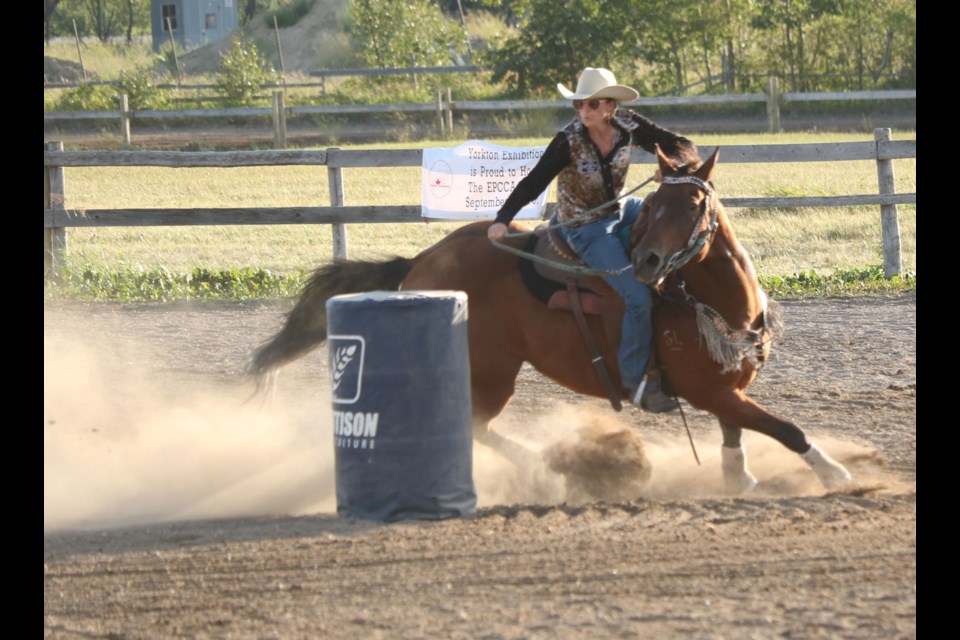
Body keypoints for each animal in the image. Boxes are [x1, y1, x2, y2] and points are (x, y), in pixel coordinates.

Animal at [249, 146, 856, 496]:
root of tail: (423, 259)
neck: (715, 301)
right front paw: (834, 473)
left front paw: (739, 477)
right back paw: (547, 469)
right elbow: (783, 427)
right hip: (493, 372)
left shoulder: (726, 386)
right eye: (654, 206)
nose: (646, 262)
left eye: (690, 207)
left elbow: (739, 429)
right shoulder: (706, 388)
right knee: (476, 424)